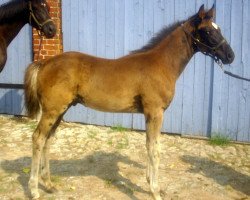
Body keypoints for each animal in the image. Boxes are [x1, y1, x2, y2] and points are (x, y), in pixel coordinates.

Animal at [24, 3, 233, 199]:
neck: (162, 64)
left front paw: (149, 181)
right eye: (208, 31)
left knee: (48, 139)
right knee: (38, 138)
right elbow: (155, 149)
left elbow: (149, 144)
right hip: (52, 110)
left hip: (61, 110)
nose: (230, 56)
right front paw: (155, 191)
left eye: (219, 28)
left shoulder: (149, 114)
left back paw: (49, 184)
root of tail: (44, 63)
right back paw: (34, 189)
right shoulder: (156, 112)